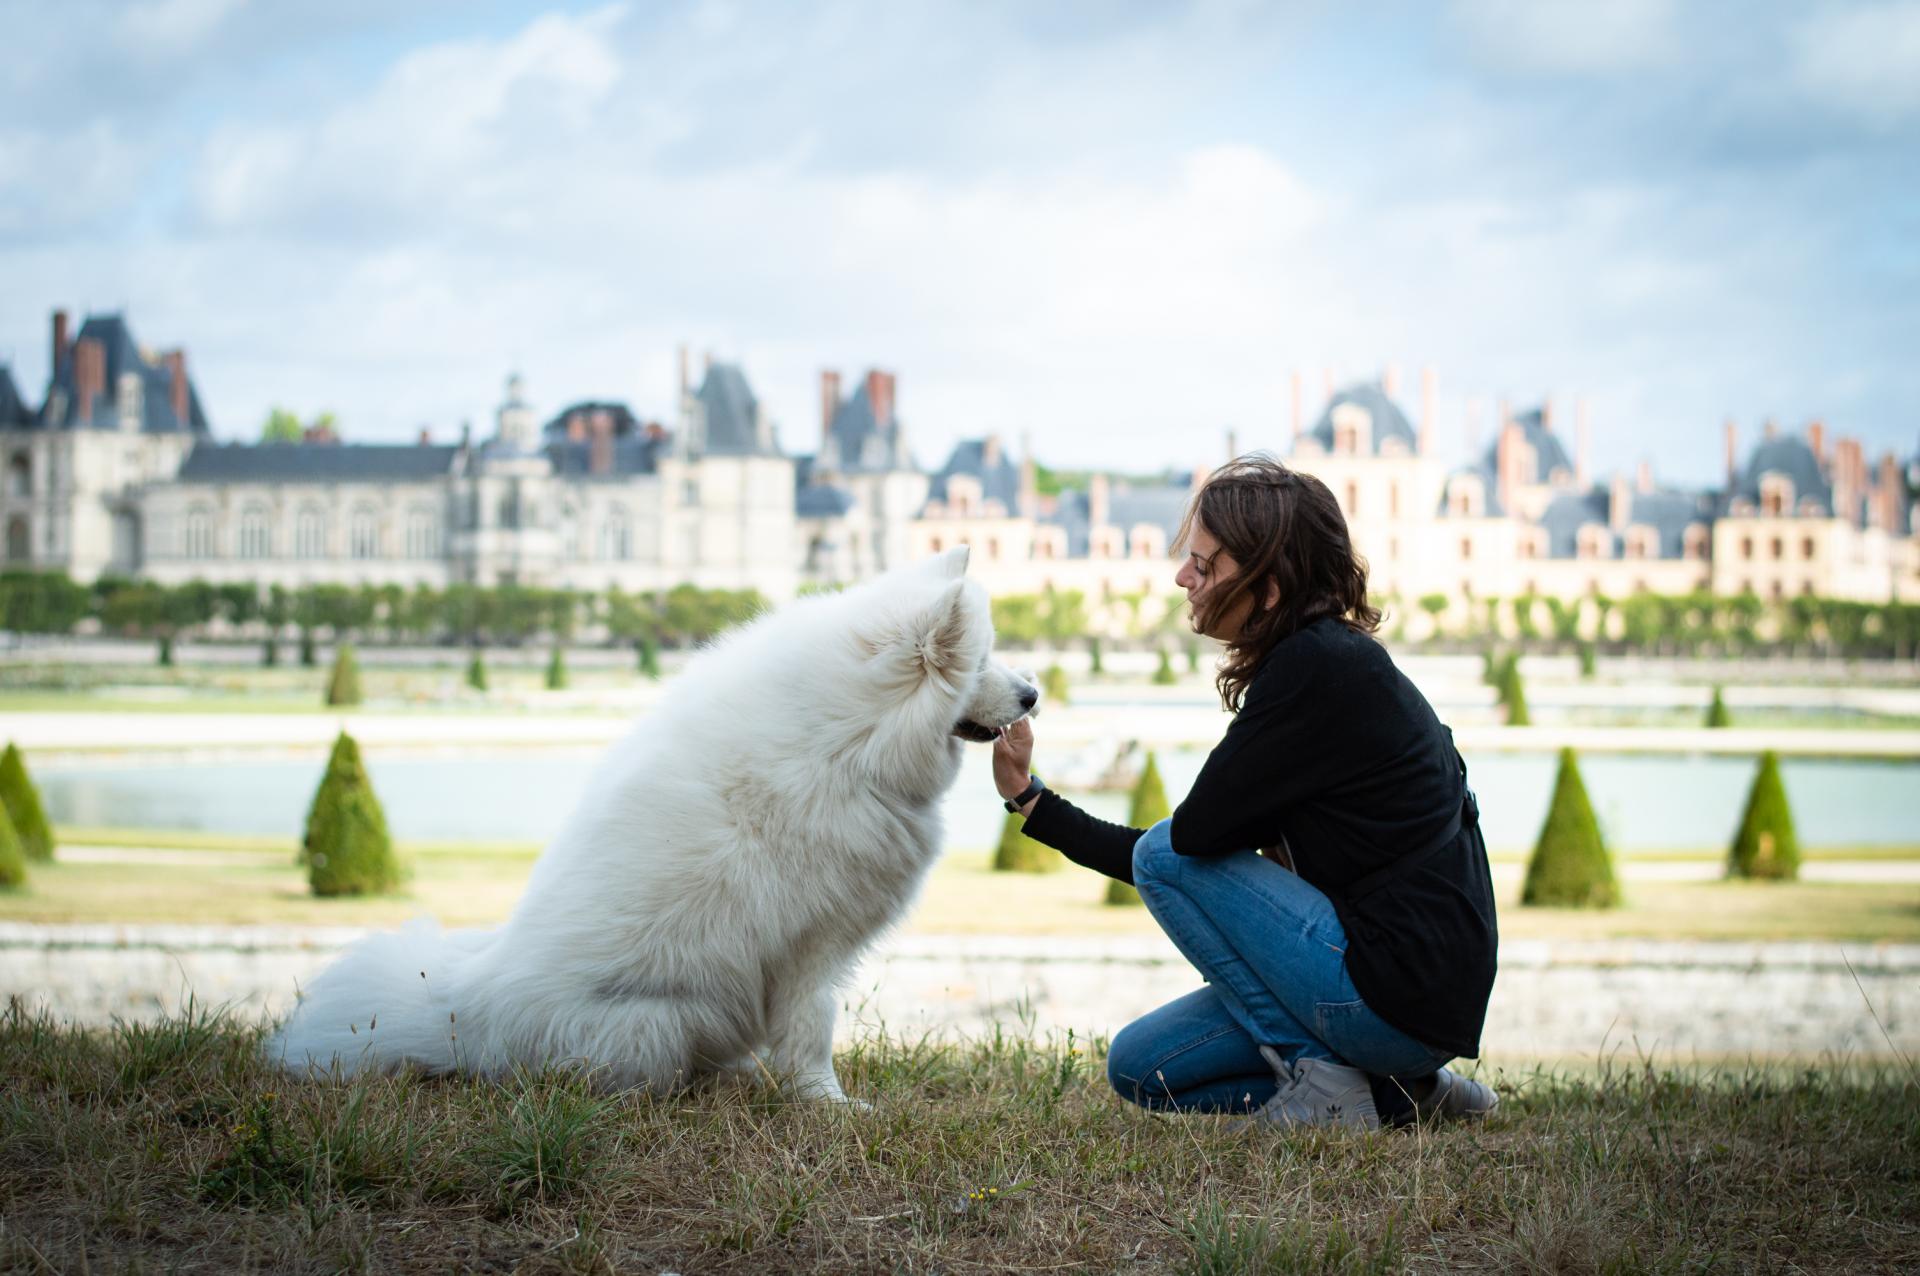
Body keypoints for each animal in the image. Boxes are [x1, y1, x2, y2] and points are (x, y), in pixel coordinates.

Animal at [270, 541, 1036, 1097]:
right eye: (981, 663)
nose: (1033, 693)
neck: (849, 740)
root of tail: (458, 1014)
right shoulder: (812, 946)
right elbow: (813, 1031)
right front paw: (829, 1106)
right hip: (659, 1022)